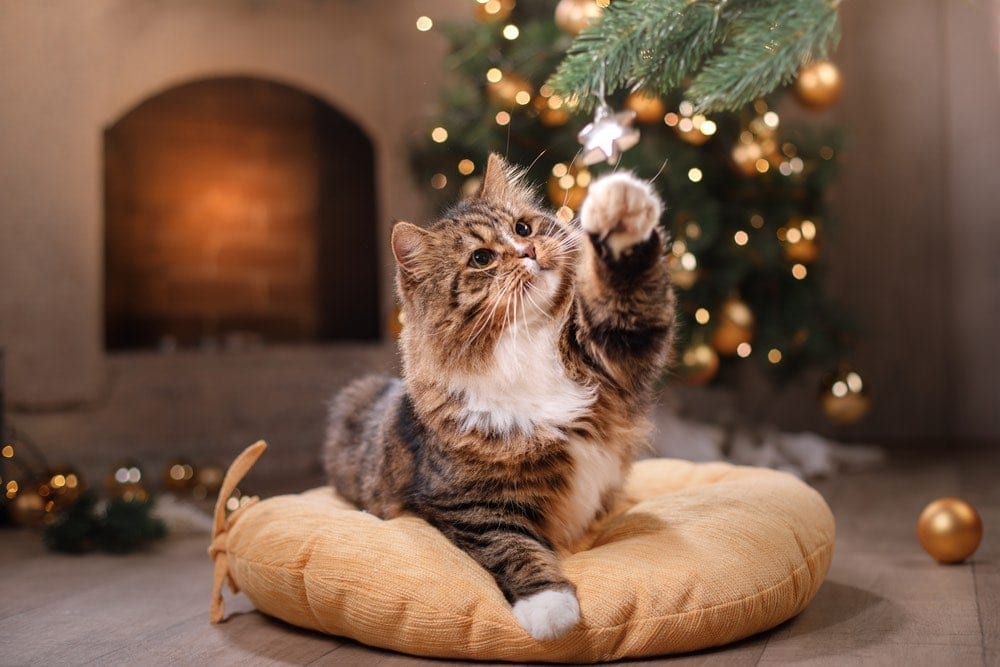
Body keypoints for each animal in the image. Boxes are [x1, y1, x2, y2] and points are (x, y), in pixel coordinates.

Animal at [324, 154, 676, 644]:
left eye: (523, 228)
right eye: (482, 258)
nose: (528, 251)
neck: (522, 342)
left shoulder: (618, 351)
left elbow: (628, 293)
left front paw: (620, 209)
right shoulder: (471, 505)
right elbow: (513, 547)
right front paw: (551, 609)